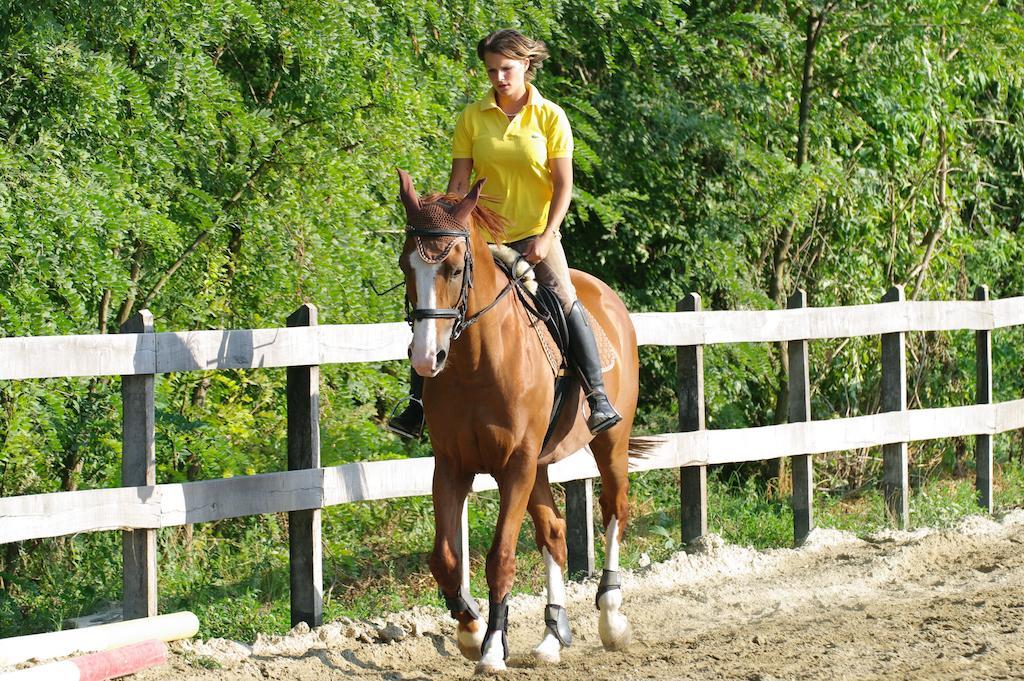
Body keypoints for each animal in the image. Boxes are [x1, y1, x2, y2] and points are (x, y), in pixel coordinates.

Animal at [395, 169, 634, 667]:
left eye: (454, 268)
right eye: (408, 267)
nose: (426, 358)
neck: (477, 365)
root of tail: (605, 294)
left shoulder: (515, 466)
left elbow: (500, 557)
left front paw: (491, 648)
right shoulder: (452, 466)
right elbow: (445, 559)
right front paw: (469, 629)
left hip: (608, 444)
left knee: (614, 509)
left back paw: (611, 618)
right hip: (539, 466)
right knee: (555, 533)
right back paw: (551, 636)